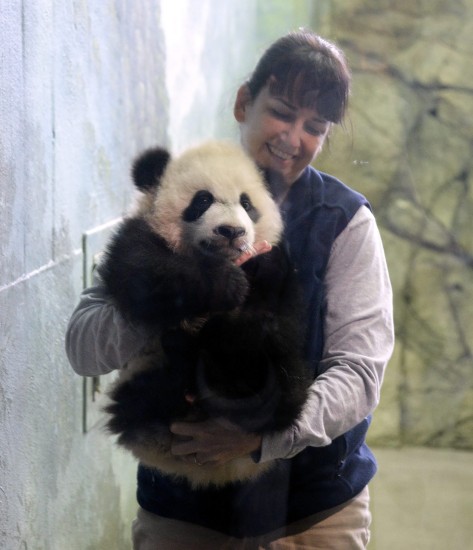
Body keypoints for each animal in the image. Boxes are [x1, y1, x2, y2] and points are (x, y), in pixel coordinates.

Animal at [99, 140, 310, 490]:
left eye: (246, 203)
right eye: (202, 200)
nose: (231, 231)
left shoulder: (284, 272)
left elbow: (280, 293)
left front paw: (257, 271)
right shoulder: (138, 234)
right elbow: (144, 272)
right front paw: (225, 283)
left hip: (281, 377)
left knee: (280, 391)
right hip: (140, 384)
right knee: (141, 399)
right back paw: (178, 358)